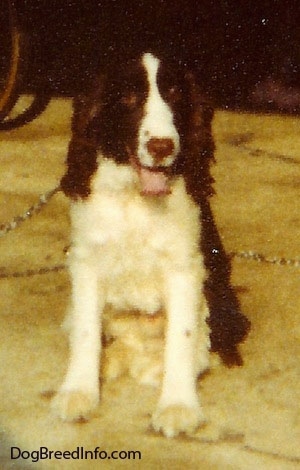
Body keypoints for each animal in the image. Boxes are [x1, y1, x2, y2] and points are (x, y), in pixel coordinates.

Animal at [52, 51, 250, 436]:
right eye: (128, 98)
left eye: (175, 93)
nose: (162, 147)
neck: (136, 198)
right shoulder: (86, 262)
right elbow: (85, 330)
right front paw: (78, 392)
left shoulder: (185, 269)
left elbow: (182, 336)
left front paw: (177, 405)